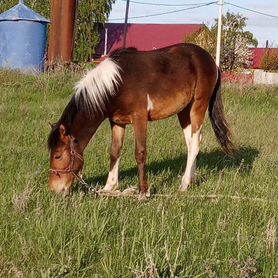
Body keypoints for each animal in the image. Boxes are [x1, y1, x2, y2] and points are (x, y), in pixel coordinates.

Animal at [48, 43, 235, 195]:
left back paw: (183, 184)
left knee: (195, 143)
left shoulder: (139, 118)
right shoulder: (117, 122)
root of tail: (211, 61)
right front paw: (110, 187)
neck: (117, 84)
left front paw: (143, 191)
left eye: (58, 156)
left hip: (198, 106)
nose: (55, 190)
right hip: (184, 112)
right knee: (191, 144)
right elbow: (114, 152)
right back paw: (192, 179)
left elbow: (140, 152)